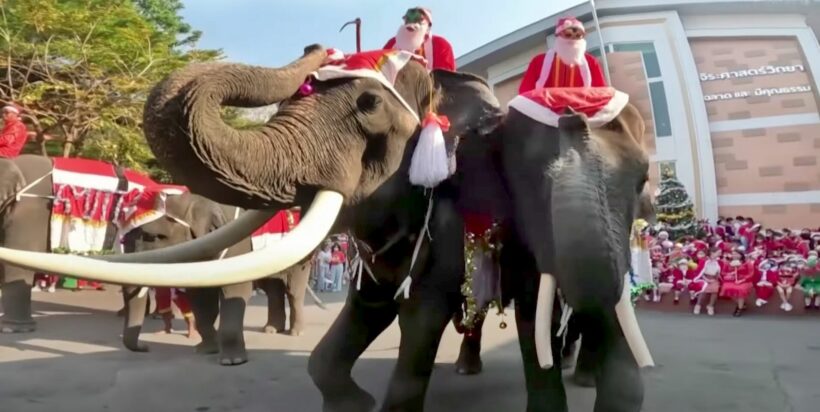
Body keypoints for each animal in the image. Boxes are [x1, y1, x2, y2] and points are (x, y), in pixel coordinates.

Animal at [120, 190, 316, 364]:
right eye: (123, 239)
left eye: (154, 237)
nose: (145, 347)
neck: (194, 200)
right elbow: (201, 299)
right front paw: (203, 350)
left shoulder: (236, 244)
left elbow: (235, 292)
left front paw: (232, 361)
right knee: (273, 289)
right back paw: (271, 330)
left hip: (301, 257)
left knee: (293, 291)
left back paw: (296, 332)